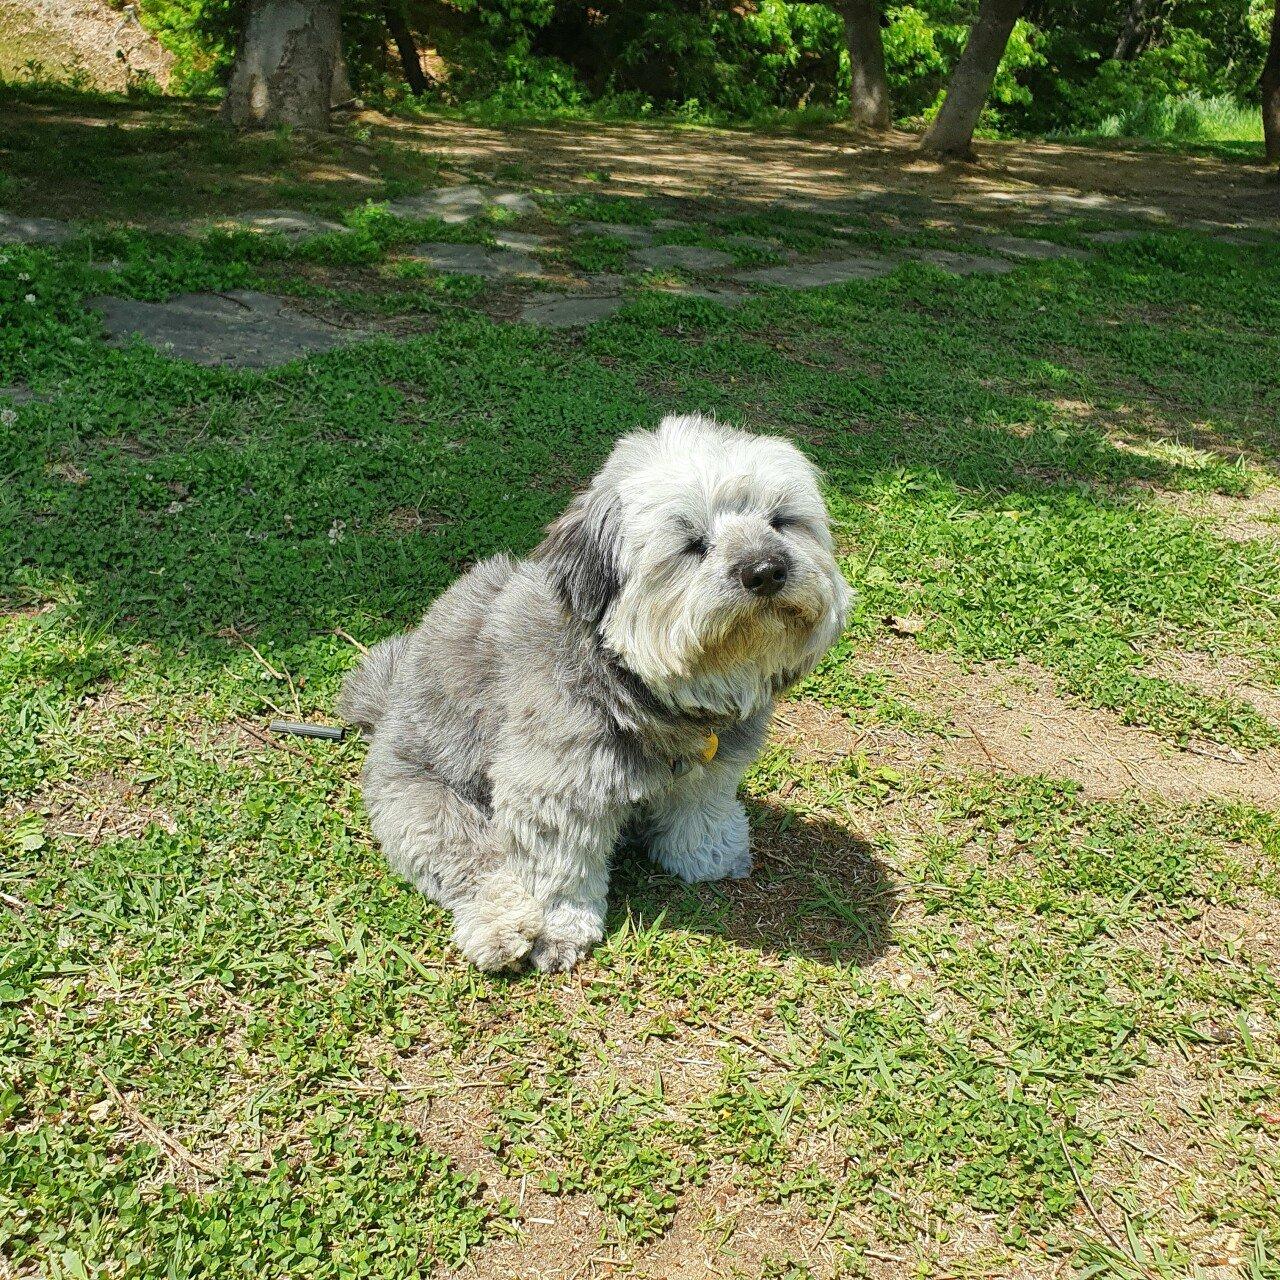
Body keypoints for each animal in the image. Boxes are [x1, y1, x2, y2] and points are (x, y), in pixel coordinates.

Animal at [343, 414, 849, 972]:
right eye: (692, 543)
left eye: (781, 521)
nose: (767, 571)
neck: (641, 684)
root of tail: (388, 705)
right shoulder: (552, 790)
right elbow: (558, 869)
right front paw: (558, 929)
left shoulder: (711, 767)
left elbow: (702, 805)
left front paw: (707, 853)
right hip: (424, 802)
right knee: (475, 864)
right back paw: (503, 928)